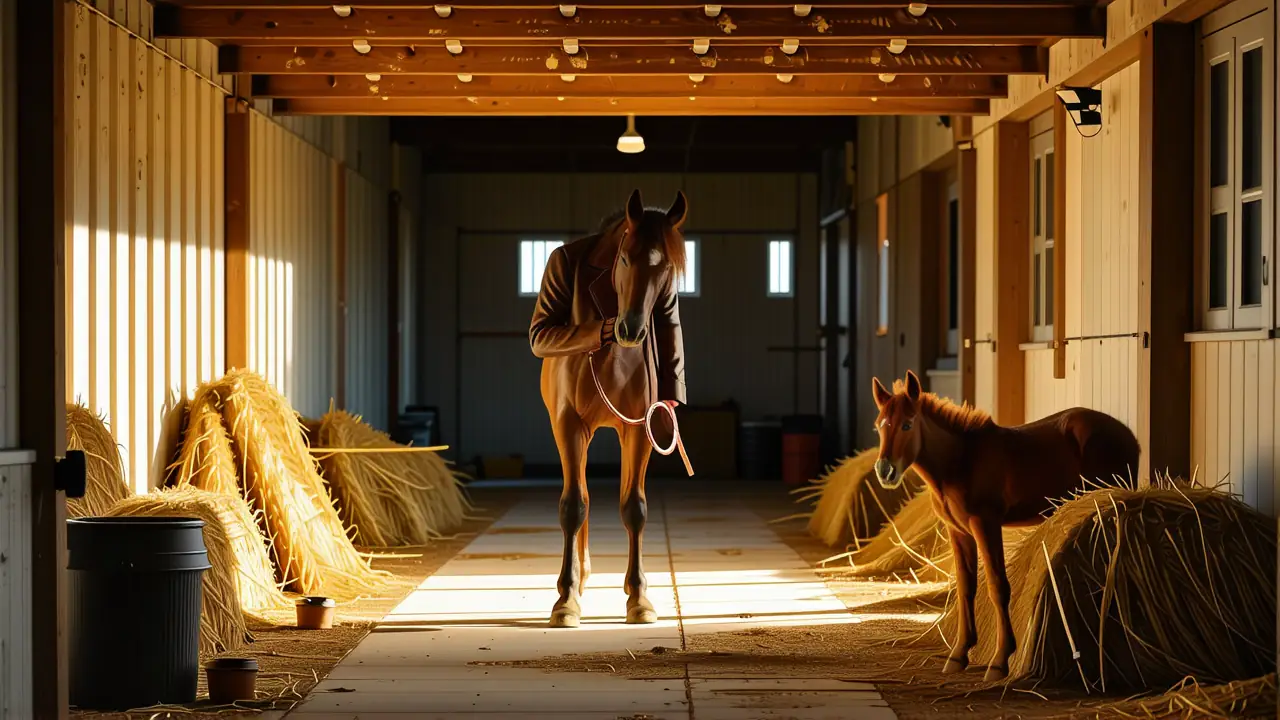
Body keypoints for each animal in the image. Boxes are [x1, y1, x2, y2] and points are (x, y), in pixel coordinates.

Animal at [529, 188, 691, 629]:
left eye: (665, 267)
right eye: (624, 259)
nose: (630, 330)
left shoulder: (639, 430)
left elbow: (634, 508)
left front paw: (639, 598)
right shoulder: (569, 425)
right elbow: (574, 507)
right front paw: (565, 600)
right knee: (580, 494)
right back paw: (580, 579)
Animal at [870, 370, 1140, 681]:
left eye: (907, 424)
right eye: (879, 426)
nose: (885, 471)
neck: (962, 460)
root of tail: (1129, 437)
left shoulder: (986, 524)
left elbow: (998, 586)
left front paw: (1000, 660)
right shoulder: (959, 532)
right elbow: (966, 587)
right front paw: (958, 655)